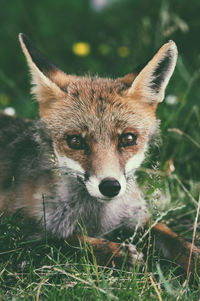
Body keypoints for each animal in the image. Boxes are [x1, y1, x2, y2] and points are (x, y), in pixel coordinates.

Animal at [0, 33, 200, 272]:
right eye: (75, 141)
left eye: (128, 139)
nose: (110, 187)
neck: (99, 218)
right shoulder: (15, 227)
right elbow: (62, 240)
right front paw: (116, 253)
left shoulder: (137, 218)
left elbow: (176, 240)